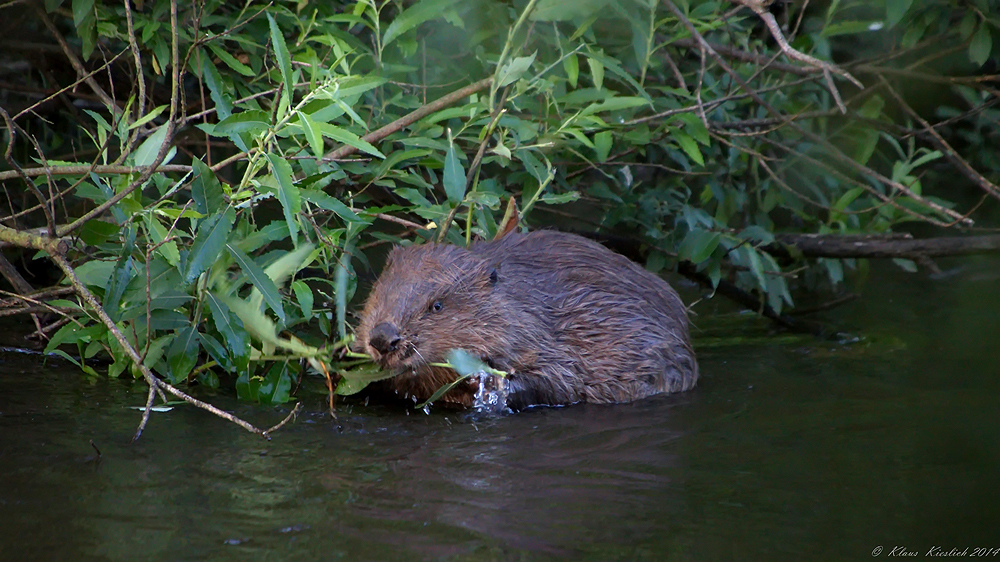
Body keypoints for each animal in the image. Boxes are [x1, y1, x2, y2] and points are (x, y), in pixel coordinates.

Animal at [358, 230, 696, 410]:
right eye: (381, 290)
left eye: (437, 305)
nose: (382, 338)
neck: (523, 305)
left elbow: (559, 380)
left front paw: (485, 381)